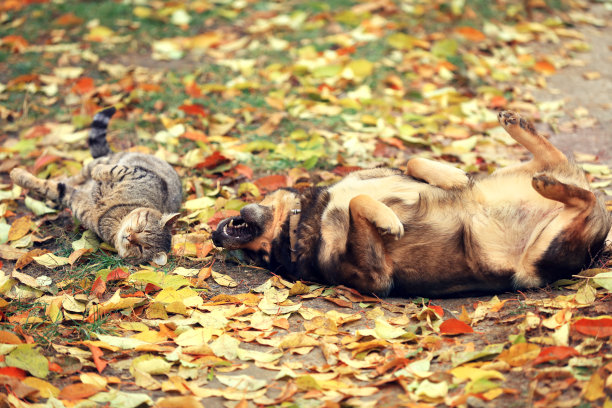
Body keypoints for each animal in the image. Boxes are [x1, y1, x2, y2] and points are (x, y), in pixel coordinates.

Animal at [10, 106, 182, 264]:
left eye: (140, 248)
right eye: (142, 227)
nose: (129, 237)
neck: (116, 215)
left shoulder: (75, 200)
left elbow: (50, 187)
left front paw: (18, 176)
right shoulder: (141, 174)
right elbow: (113, 170)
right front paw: (17, 174)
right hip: (104, 161)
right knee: (84, 173)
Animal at [213, 111, 608, 296]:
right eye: (259, 258)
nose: (215, 235)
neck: (305, 217)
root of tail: (600, 242)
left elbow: (410, 161)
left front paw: (451, 177)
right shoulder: (373, 277)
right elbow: (358, 202)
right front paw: (387, 220)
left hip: (501, 177)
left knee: (556, 163)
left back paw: (517, 126)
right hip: (542, 255)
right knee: (584, 197)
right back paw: (551, 183)